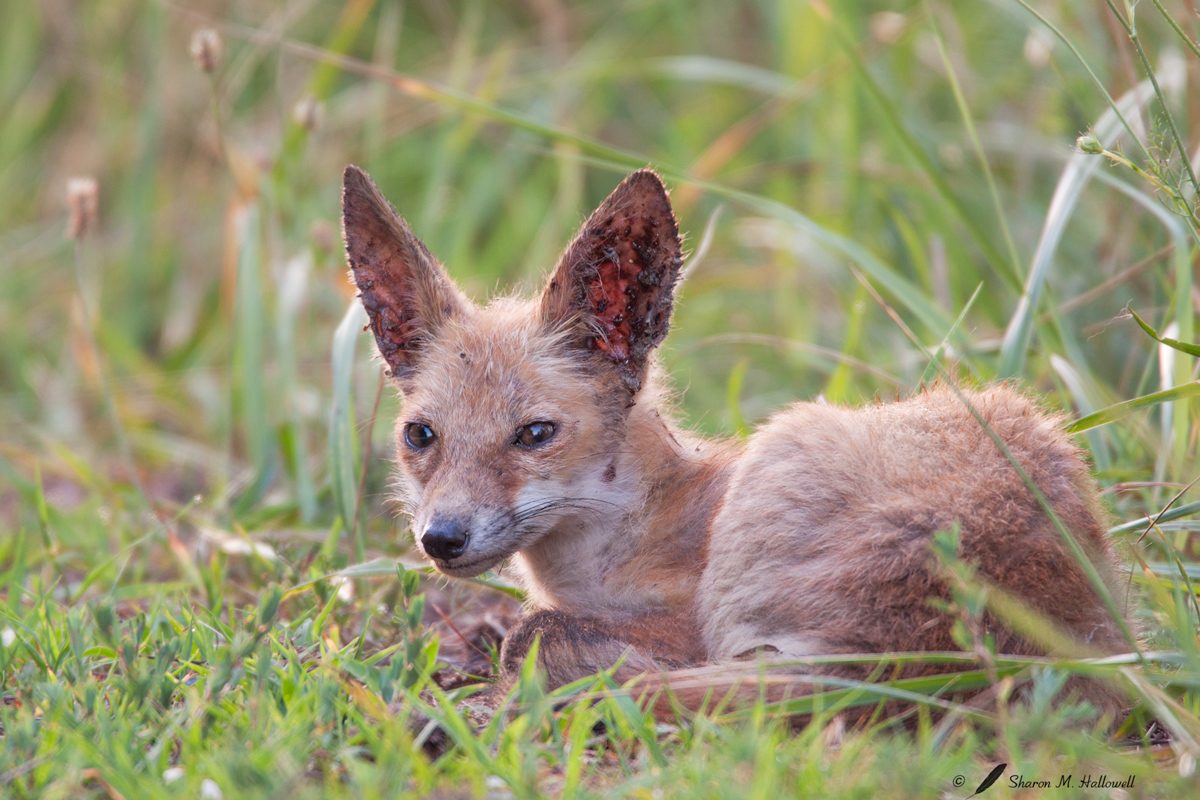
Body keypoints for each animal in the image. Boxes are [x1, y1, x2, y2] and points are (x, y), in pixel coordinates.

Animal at [340, 164, 1134, 721]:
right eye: (421, 435)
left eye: (534, 434)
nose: (441, 538)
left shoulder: (687, 629)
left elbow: (533, 633)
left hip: (790, 455)